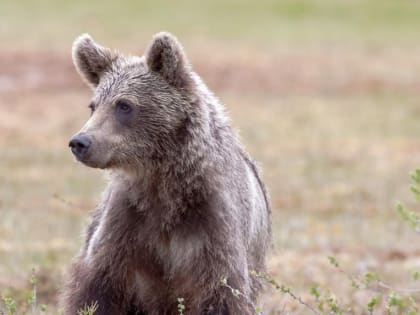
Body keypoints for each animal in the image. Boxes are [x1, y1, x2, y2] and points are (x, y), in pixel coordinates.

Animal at [61, 32, 272, 315]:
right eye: (93, 106)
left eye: (124, 105)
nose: (80, 142)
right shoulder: (127, 224)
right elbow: (96, 289)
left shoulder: (213, 226)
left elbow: (223, 293)